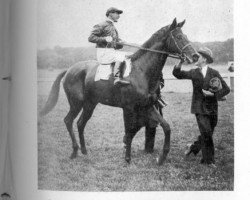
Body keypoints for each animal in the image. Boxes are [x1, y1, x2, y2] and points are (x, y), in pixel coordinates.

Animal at [39, 18, 199, 165]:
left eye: (185, 35)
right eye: (178, 37)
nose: (195, 56)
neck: (140, 71)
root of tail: (69, 70)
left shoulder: (146, 106)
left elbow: (166, 127)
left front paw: (162, 157)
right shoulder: (128, 108)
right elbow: (129, 132)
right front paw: (127, 158)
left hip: (90, 104)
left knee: (80, 123)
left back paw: (84, 151)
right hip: (76, 103)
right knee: (68, 120)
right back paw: (74, 151)